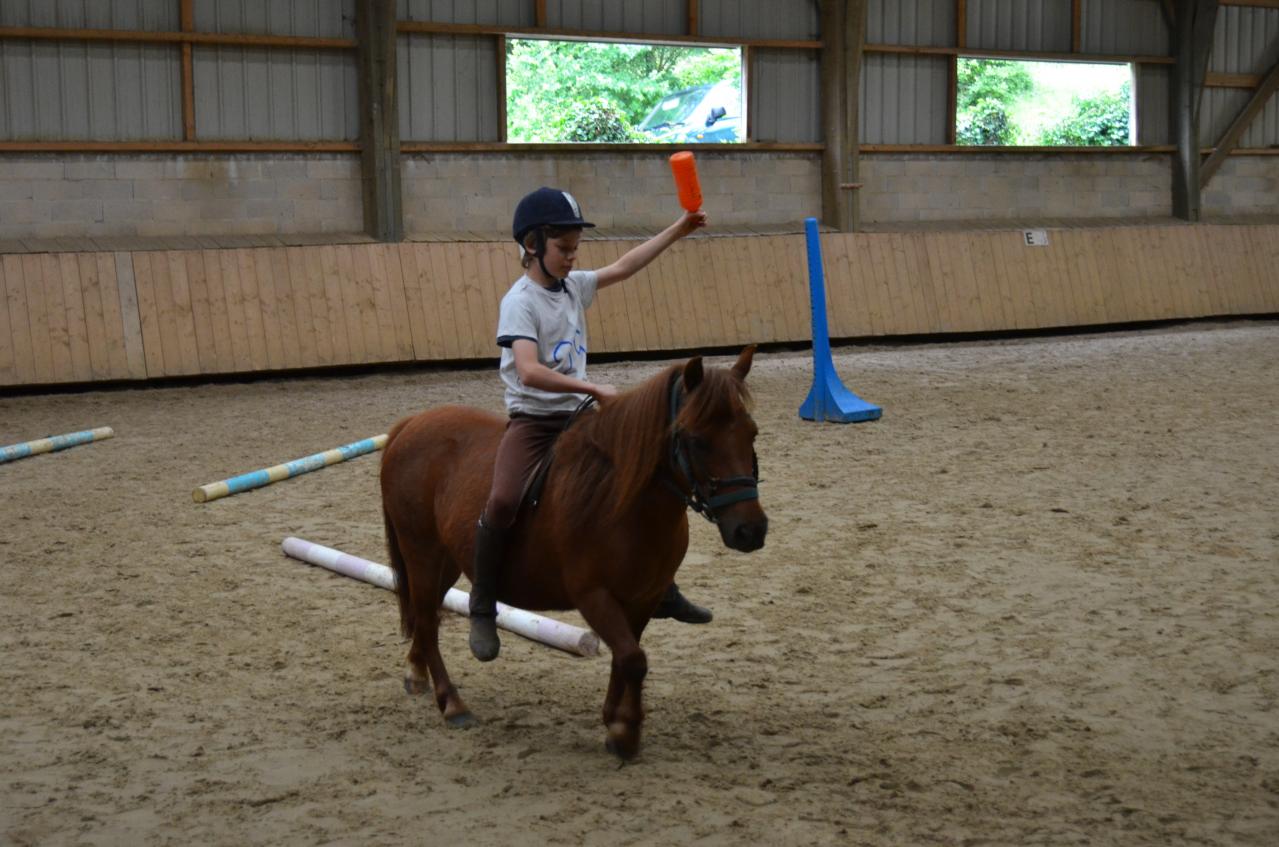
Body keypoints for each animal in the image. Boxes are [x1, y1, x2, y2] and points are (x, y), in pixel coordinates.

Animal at [373, 348, 762, 757]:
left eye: (751, 432)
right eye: (696, 440)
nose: (750, 530)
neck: (621, 502)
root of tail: (412, 423)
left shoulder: (643, 598)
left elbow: (626, 656)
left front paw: (613, 719)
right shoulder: (593, 595)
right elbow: (633, 659)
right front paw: (625, 732)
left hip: (446, 560)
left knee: (426, 613)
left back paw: (416, 674)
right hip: (422, 552)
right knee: (427, 621)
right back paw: (452, 703)